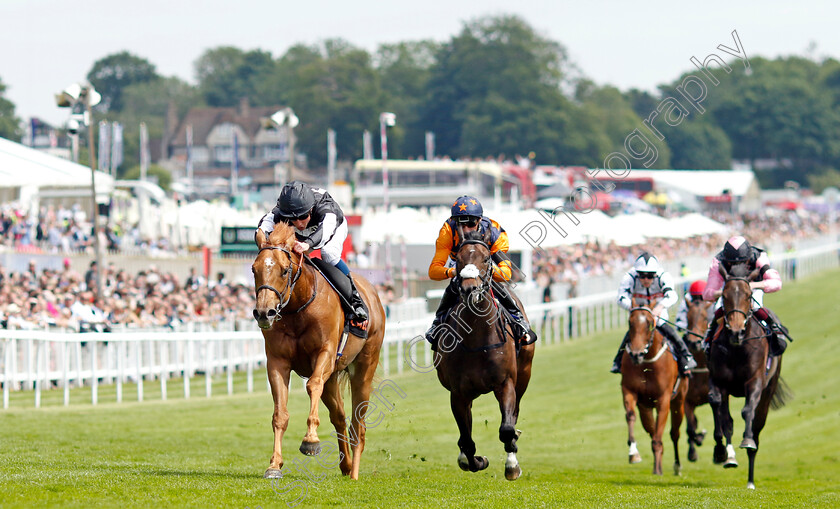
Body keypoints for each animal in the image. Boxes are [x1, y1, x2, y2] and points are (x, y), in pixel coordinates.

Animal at [251, 224, 386, 478]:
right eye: (254, 270)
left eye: (284, 270)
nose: (264, 313)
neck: (297, 308)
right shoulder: (277, 361)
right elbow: (280, 414)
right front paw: (274, 465)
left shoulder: (325, 353)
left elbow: (312, 385)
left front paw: (310, 440)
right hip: (332, 378)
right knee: (340, 417)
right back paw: (346, 465)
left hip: (364, 368)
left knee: (358, 425)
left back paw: (354, 473)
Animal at [430, 228, 536, 478]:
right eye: (458, 259)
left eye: (487, 258)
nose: (470, 288)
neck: (477, 338)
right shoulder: (458, 392)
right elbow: (467, 440)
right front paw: (476, 461)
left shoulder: (506, 383)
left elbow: (506, 428)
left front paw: (512, 464)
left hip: (524, 375)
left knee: (514, 413)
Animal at [616, 300, 688, 474]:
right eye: (630, 322)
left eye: (649, 324)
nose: (636, 354)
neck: (647, 364)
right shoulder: (629, 391)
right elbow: (630, 415)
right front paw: (633, 453)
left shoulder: (664, 400)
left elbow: (660, 436)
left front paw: (658, 471)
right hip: (646, 409)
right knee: (652, 431)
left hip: (679, 402)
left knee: (674, 433)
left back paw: (676, 466)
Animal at [708, 262, 788, 488]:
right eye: (724, 295)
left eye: (749, 294)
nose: (736, 331)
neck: (737, 348)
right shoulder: (720, 382)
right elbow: (723, 417)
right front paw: (723, 453)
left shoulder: (755, 381)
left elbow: (747, 412)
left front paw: (747, 440)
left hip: (768, 391)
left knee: (757, 428)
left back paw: (751, 480)